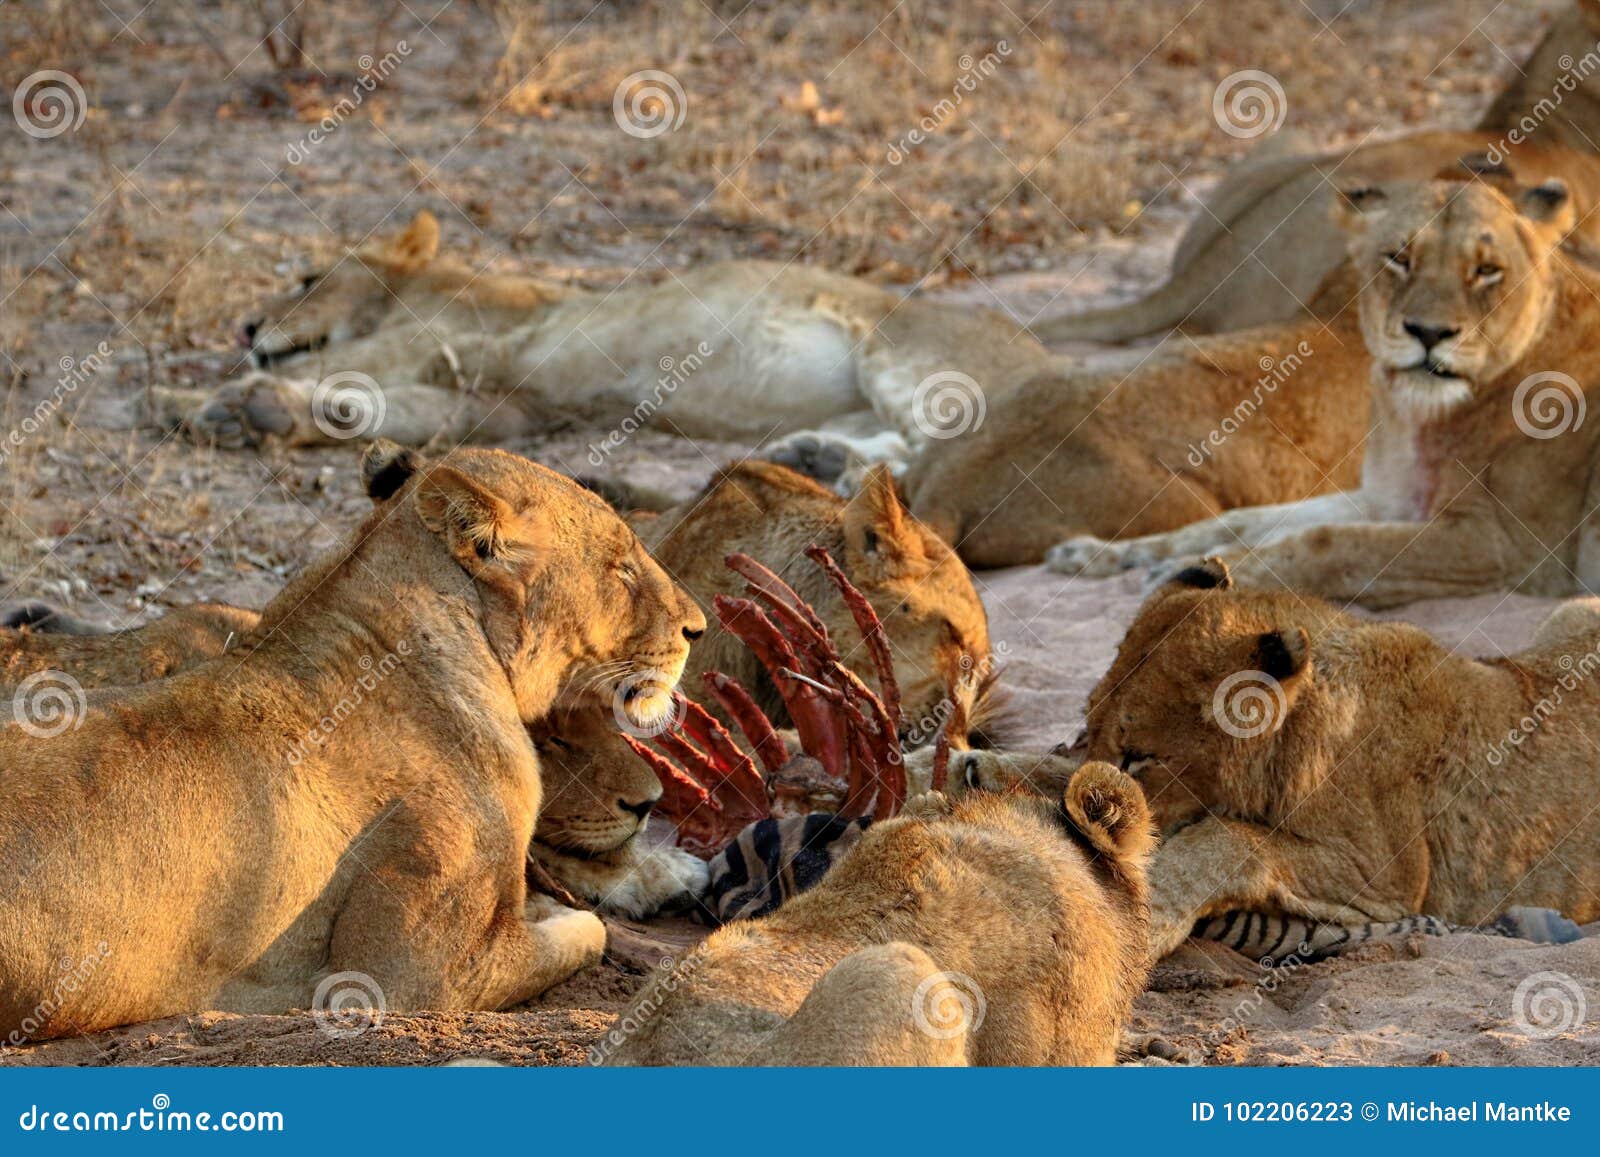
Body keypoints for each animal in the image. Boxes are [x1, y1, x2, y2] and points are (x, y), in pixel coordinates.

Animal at [1043, 178, 1600, 604]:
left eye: (1487, 270)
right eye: (1399, 258)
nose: (1429, 332)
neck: (1415, 417)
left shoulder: (1506, 547)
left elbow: (1330, 544)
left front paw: (1204, 573)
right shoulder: (1385, 499)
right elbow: (1236, 520)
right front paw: (1102, 552)